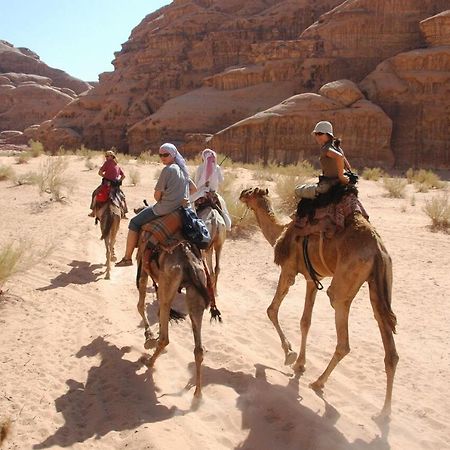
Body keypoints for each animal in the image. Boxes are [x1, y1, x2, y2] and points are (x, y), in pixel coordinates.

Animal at [137, 232, 221, 398]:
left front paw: (149, 336)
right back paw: (198, 393)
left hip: (168, 281)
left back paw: (149, 361)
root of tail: (188, 262)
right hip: (196, 289)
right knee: (198, 349)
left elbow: (140, 306)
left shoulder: (143, 266)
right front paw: (152, 335)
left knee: (165, 336)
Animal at [241, 187, 400, 418]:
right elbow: (305, 321)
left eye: (251, 191)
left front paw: (289, 354)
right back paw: (384, 412)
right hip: (379, 285)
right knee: (388, 343)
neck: (281, 231)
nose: (241, 194)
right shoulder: (311, 279)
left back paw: (318, 383)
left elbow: (272, 309)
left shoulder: (288, 270)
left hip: (343, 288)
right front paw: (300, 364)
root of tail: (378, 250)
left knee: (343, 340)